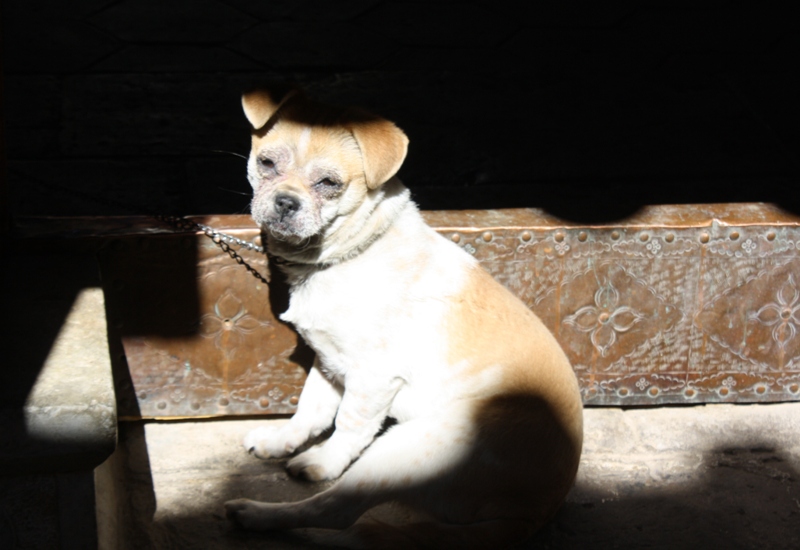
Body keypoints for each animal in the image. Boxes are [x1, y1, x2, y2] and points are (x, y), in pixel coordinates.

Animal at [222, 88, 584, 548]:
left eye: (329, 184)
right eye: (266, 163)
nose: (286, 201)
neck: (342, 255)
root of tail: (529, 518)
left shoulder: (372, 379)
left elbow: (347, 425)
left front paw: (323, 461)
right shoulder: (329, 362)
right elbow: (310, 410)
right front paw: (282, 440)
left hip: (403, 449)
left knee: (337, 512)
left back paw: (257, 514)